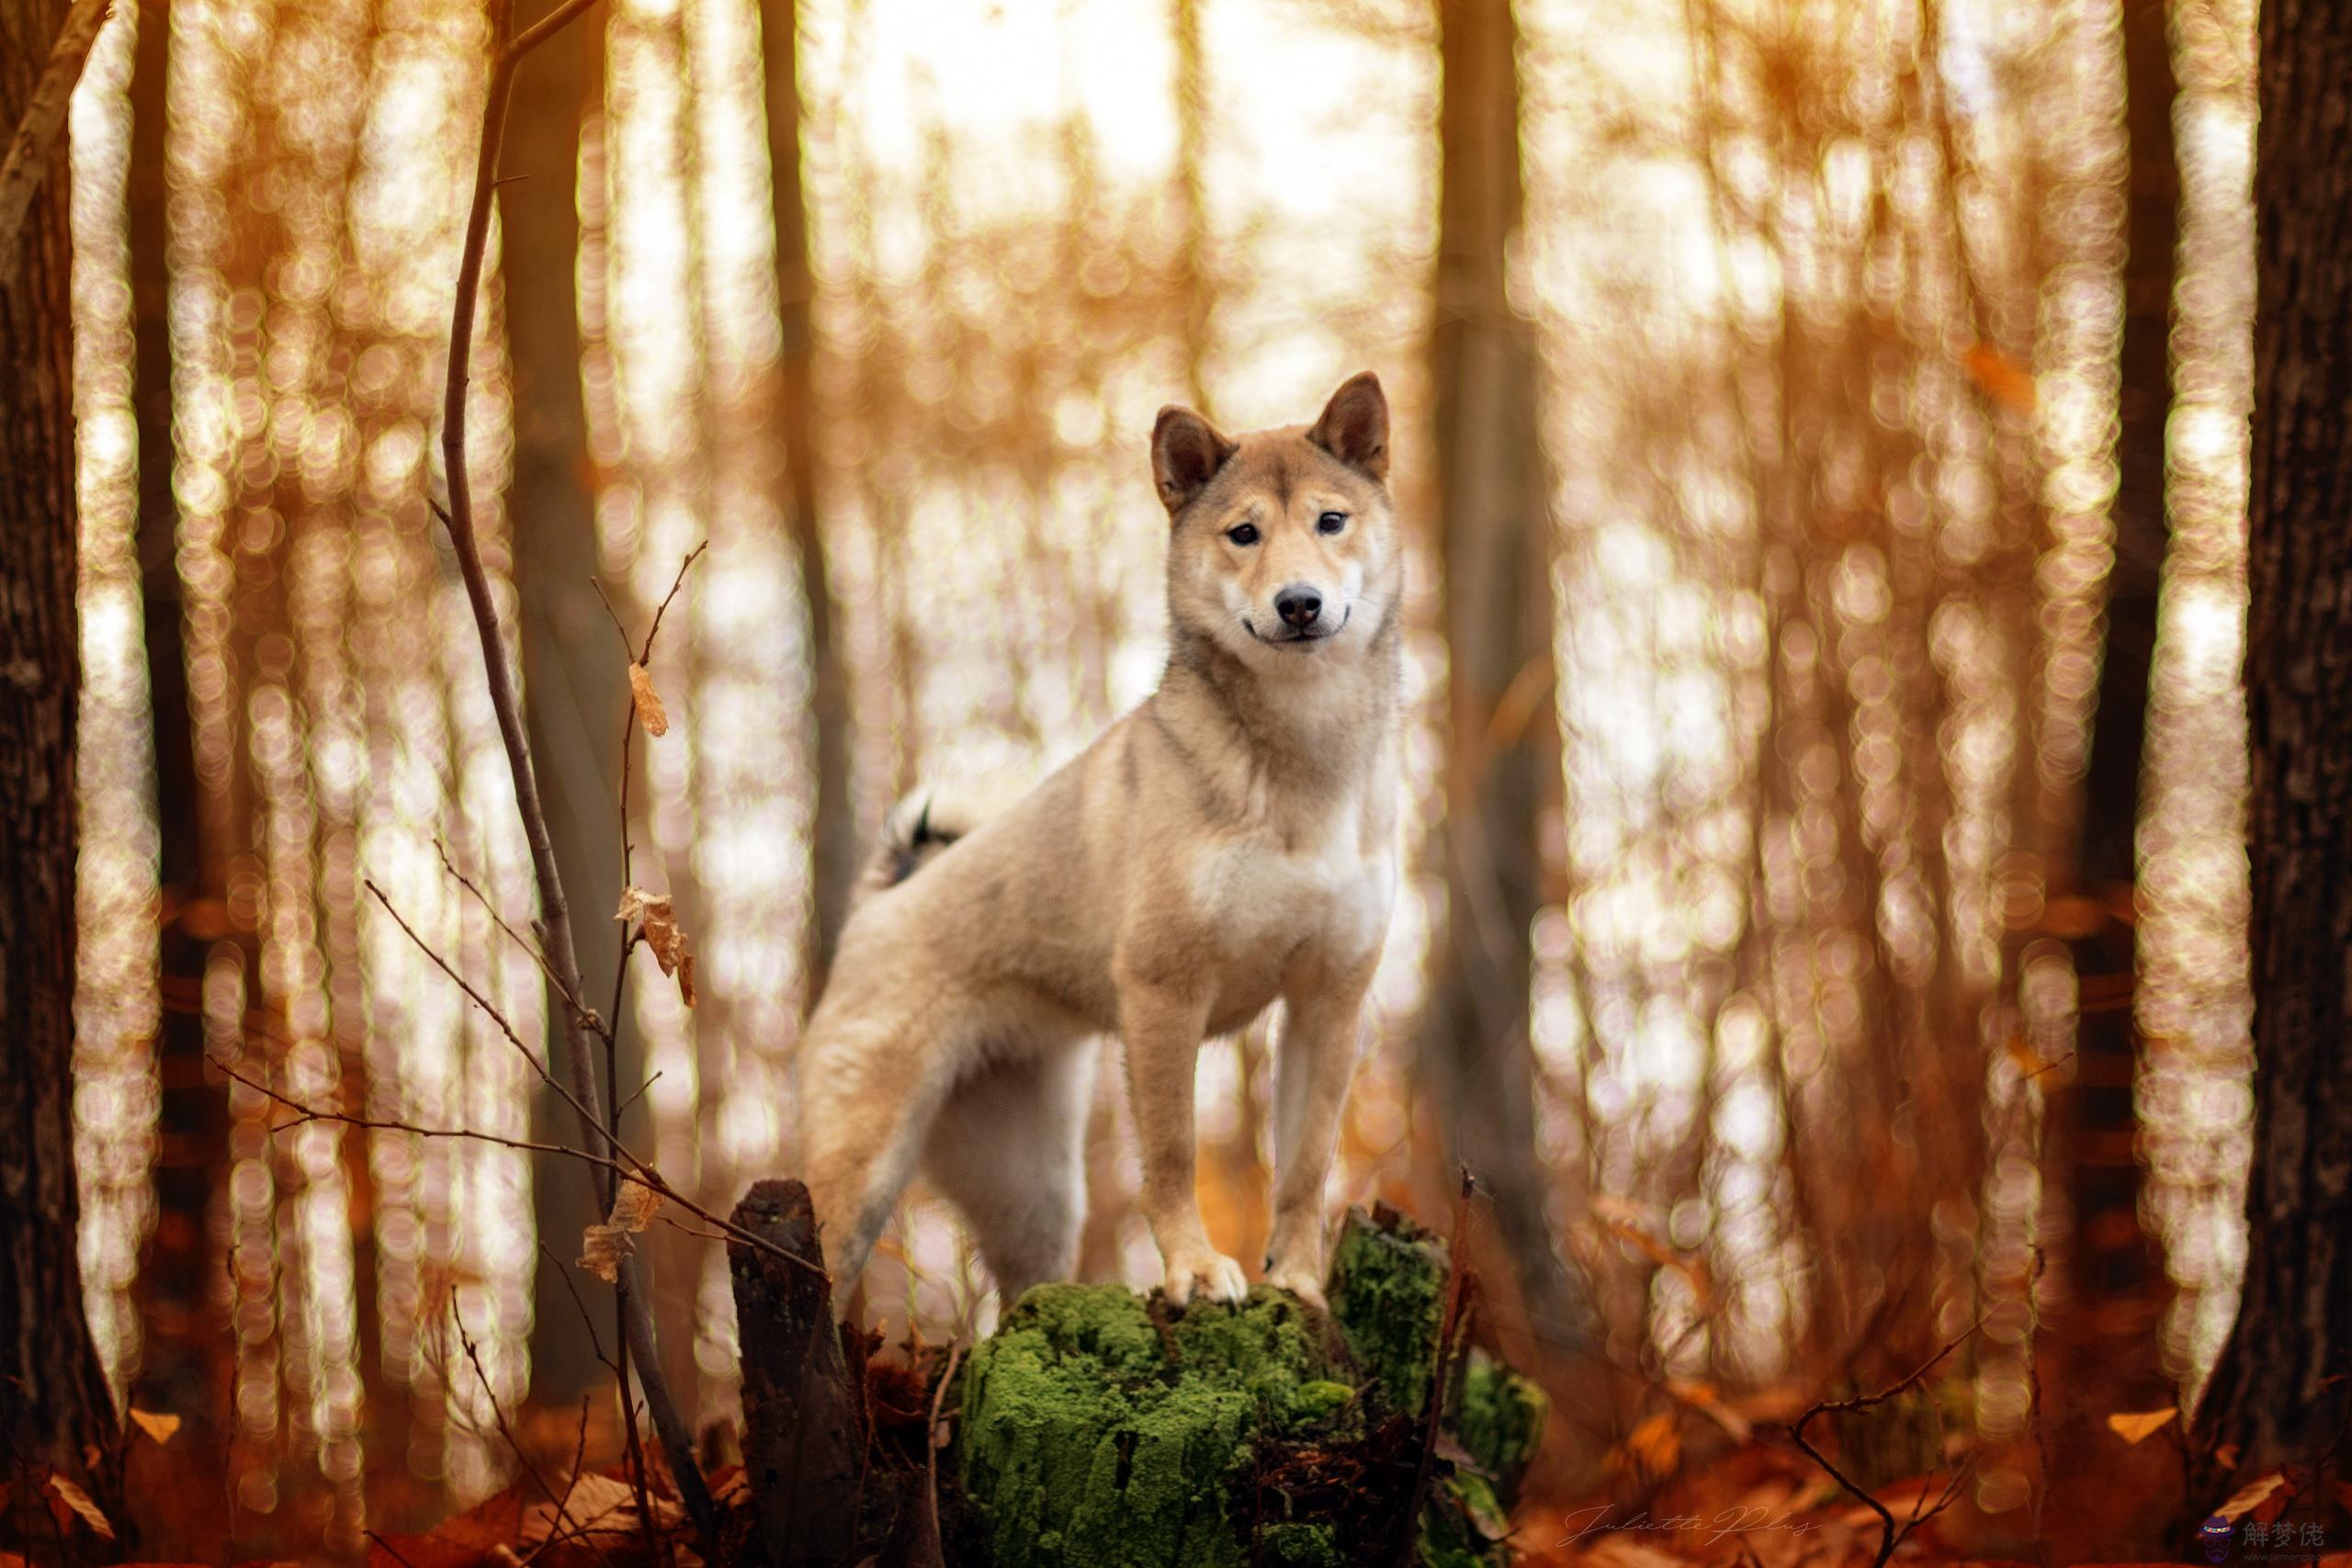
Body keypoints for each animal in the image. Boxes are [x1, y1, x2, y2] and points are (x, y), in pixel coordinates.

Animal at [799, 376, 1401, 1316]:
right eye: (1244, 533)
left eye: (1330, 521)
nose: (1298, 602)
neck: (1303, 762)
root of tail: (880, 902)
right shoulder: (1164, 992)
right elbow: (1174, 1156)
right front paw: (1195, 1269)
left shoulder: (1328, 1000)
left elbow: (1306, 1165)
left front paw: (1300, 1281)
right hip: (861, 1172)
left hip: (1034, 1189)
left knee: (1021, 1288)